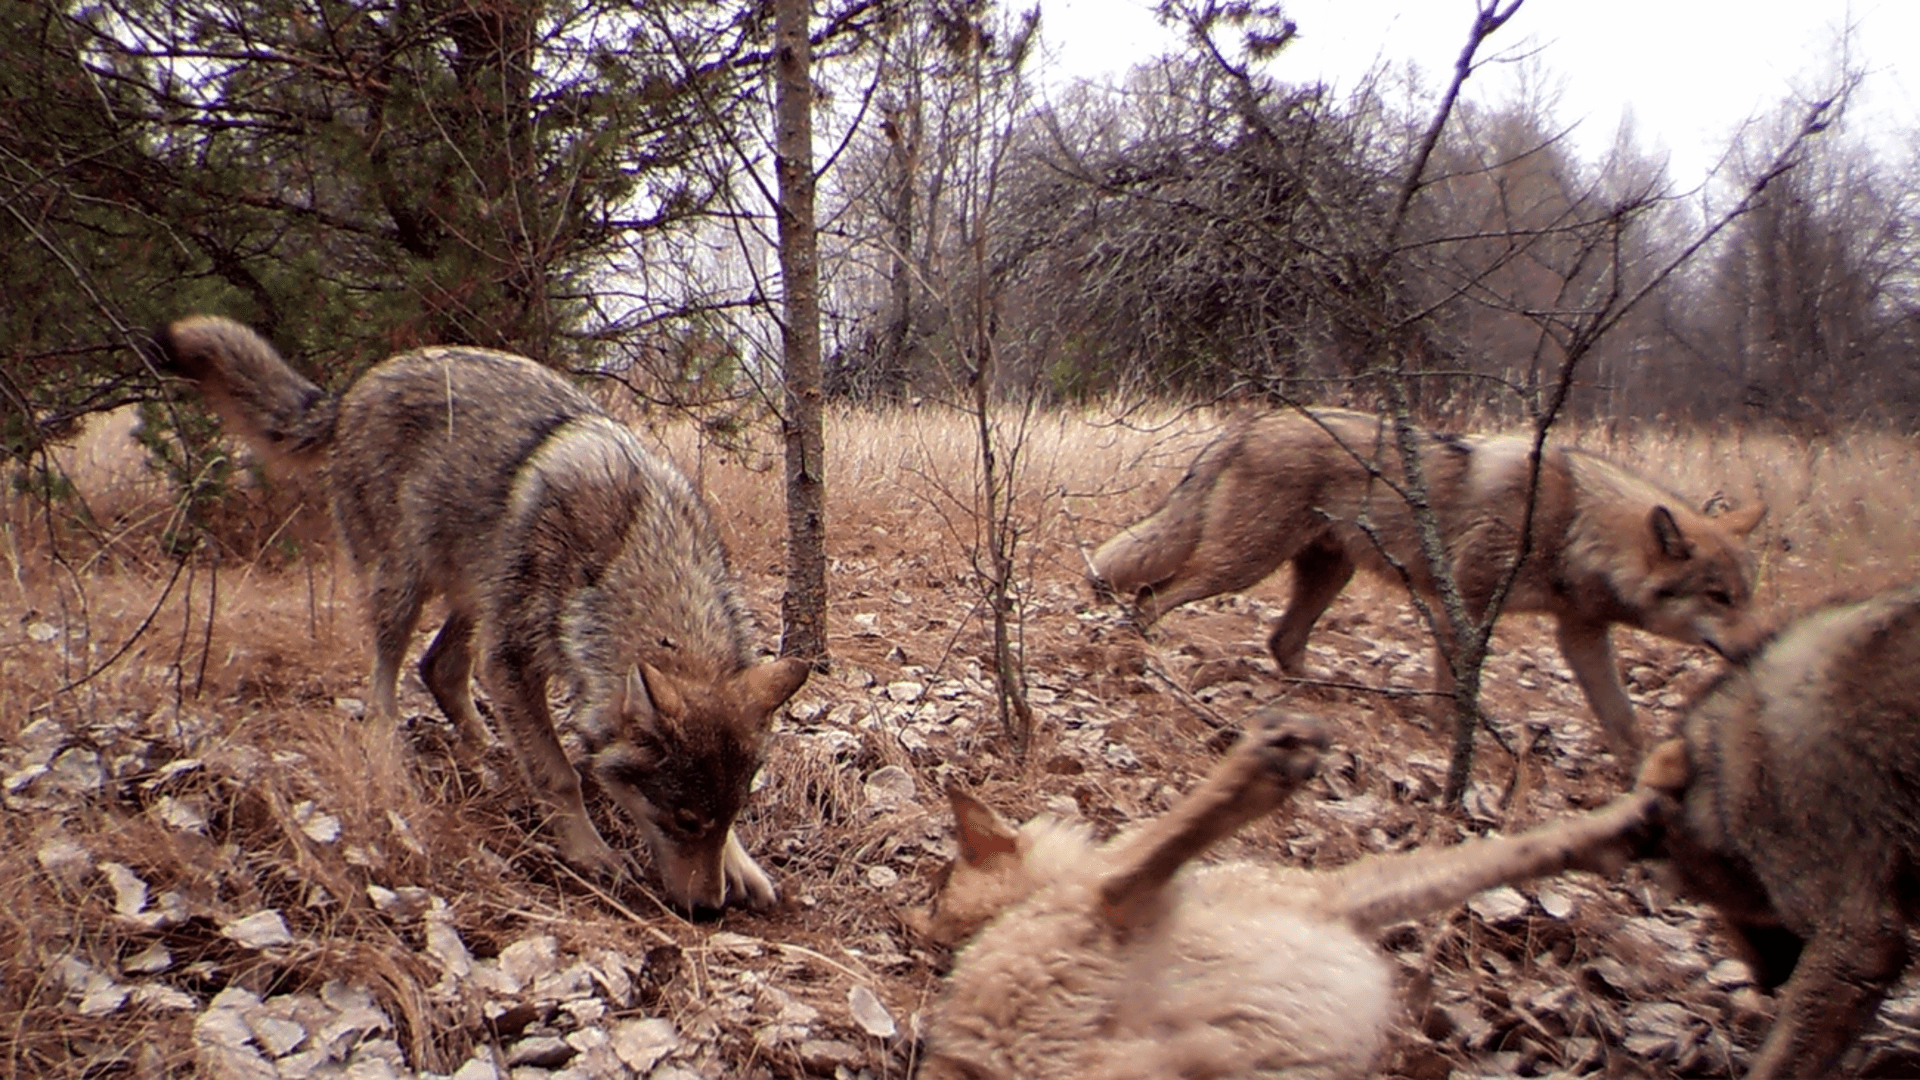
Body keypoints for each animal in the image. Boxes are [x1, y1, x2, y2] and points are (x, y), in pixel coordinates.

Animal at [155, 313, 802, 907]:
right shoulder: (510, 661)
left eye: (730, 814)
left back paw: (487, 749)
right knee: (385, 685)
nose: (709, 908)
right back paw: (390, 753)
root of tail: (359, 384)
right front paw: (589, 853)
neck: (629, 549)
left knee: (438, 667)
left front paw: (743, 868)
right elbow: (560, 775)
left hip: (478, 592)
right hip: (406, 585)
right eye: (685, 820)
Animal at [913, 707, 1681, 1076]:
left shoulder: (1340, 895)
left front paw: (1623, 825)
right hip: (1113, 928)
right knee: (1131, 876)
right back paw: (1269, 755)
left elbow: (1498, 854)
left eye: (940, 892)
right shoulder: (1333, 892)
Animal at [1098, 407, 1766, 753]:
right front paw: (1450, 738)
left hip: (1326, 573)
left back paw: (1327, 697)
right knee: (1152, 597)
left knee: (1281, 641)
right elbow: (1456, 683)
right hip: (1242, 566)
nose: (1760, 650)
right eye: (1719, 598)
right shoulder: (1465, 606)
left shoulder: (1580, 634)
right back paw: (1150, 658)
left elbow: (1623, 719)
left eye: (1745, 598)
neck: (1574, 522)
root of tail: (1251, 421)